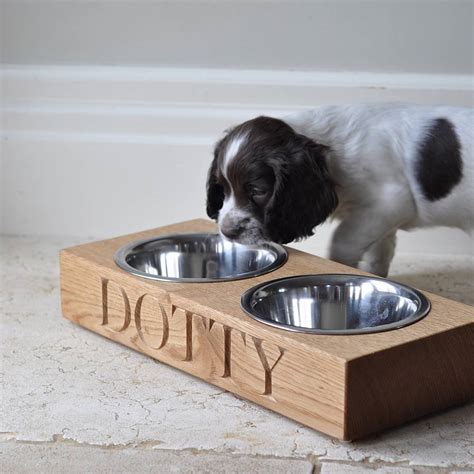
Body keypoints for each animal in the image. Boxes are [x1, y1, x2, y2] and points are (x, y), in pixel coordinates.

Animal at [206, 102, 472, 276]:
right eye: (223, 188)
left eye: (258, 191)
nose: (227, 231)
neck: (331, 154)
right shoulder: (383, 218)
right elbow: (380, 249)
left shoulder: (390, 202)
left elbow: (342, 243)